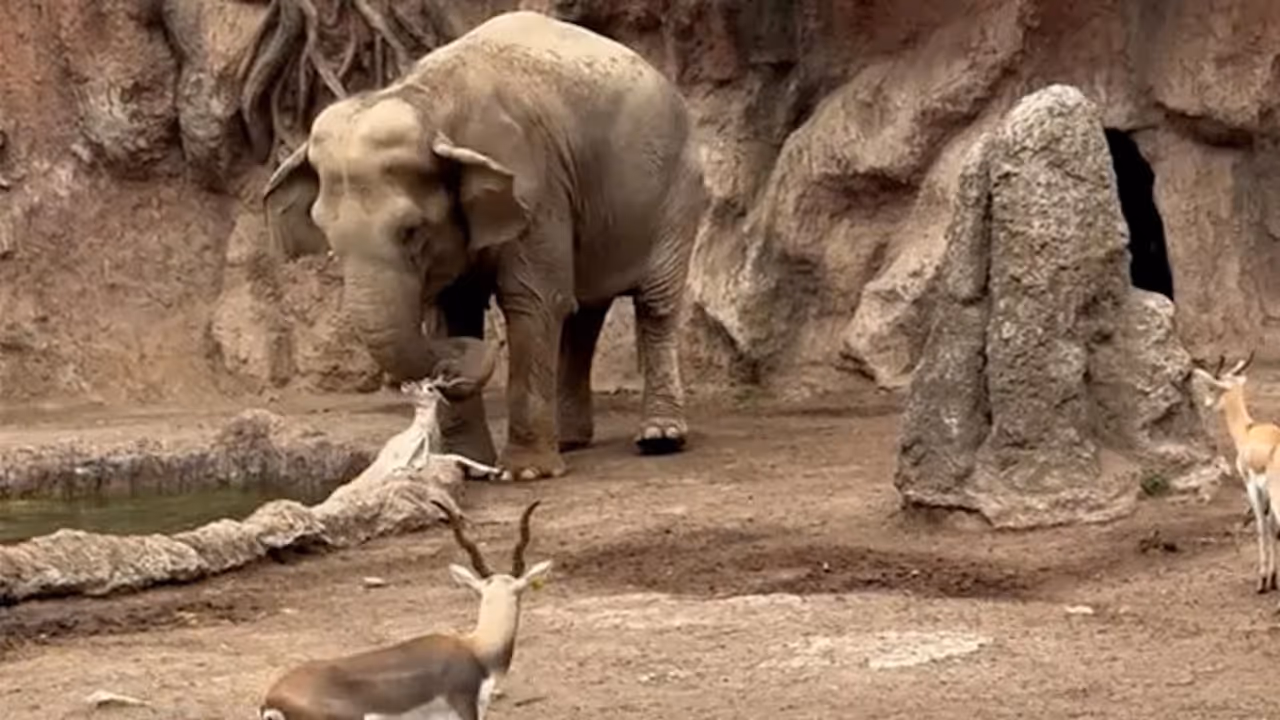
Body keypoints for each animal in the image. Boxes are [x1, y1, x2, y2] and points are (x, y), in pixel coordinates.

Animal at [263, 11, 708, 481]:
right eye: (327, 236)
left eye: (412, 230)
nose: (450, 372)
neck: (427, 101)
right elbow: (454, 309)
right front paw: (469, 467)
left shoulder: (535, 183)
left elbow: (532, 300)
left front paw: (526, 474)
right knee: (584, 312)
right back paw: (570, 441)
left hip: (678, 190)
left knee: (653, 302)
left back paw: (660, 437)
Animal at [1191, 350, 1280, 593]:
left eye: (1213, 387)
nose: (1207, 403)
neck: (1248, 432)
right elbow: (1272, 528)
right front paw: (1273, 579)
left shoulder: (1251, 486)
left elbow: (1261, 527)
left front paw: (1262, 581)